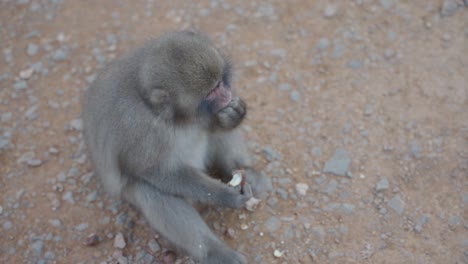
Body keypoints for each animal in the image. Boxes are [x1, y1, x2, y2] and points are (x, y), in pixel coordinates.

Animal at [80, 29, 270, 262]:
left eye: (219, 83)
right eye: (211, 93)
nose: (226, 94)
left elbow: (211, 123)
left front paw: (234, 115)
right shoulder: (140, 130)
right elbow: (154, 172)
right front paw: (226, 195)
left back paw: (247, 172)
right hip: (128, 194)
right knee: (151, 190)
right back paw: (211, 250)